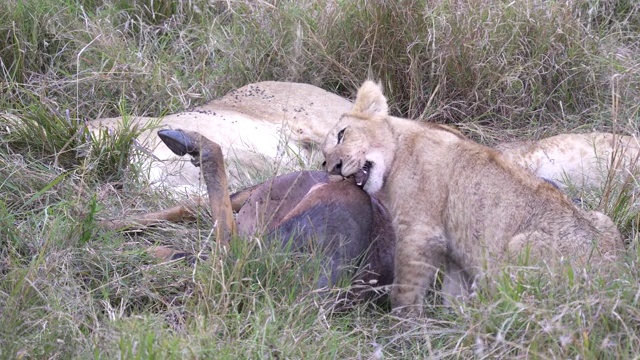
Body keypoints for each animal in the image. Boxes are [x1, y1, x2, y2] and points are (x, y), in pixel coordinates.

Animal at [322, 81, 624, 316]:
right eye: (323, 159)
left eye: (342, 134)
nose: (334, 168)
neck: (400, 147)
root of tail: (617, 276)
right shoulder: (455, 251)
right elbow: (453, 293)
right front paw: (452, 324)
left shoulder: (419, 232)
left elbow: (406, 288)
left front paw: (403, 327)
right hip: (603, 219)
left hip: (520, 246)